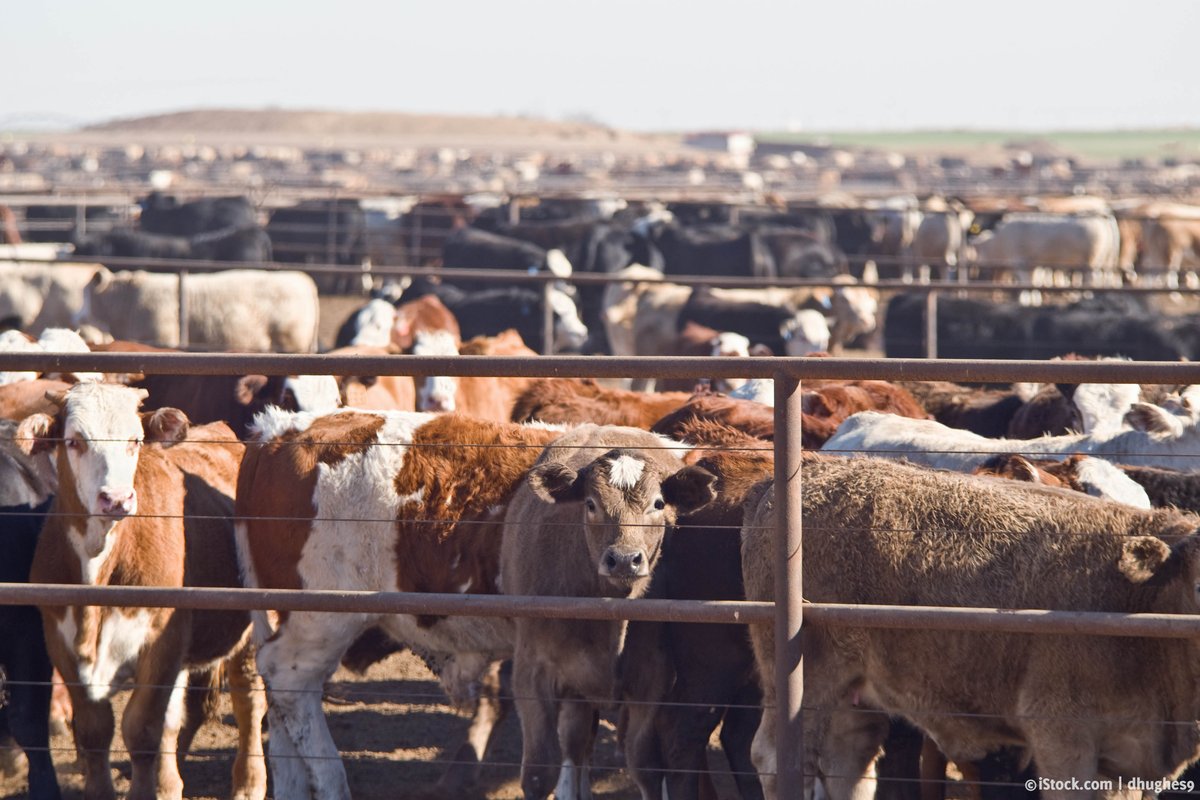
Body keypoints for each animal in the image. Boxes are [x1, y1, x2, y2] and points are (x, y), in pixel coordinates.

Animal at [20, 383, 266, 800]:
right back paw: (169, 784)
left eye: (134, 440)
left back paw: (248, 784)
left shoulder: (161, 641)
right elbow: (96, 729)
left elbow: (141, 729)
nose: (117, 499)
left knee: (248, 699)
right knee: (176, 717)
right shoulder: (60, 641)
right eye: (74, 441)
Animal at [499, 425, 719, 799]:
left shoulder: (652, 679)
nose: (625, 559)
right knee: (574, 746)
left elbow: (645, 766)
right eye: (591, 504)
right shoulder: (531, 672)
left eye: (658, 504)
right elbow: (540, 772)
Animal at [742, 456, 1200, 800]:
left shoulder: (1125, 765)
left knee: (849, 762)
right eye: (1197, 582)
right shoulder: (1061, 738)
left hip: (852, 694)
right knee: (779, 759)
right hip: (808, 681)